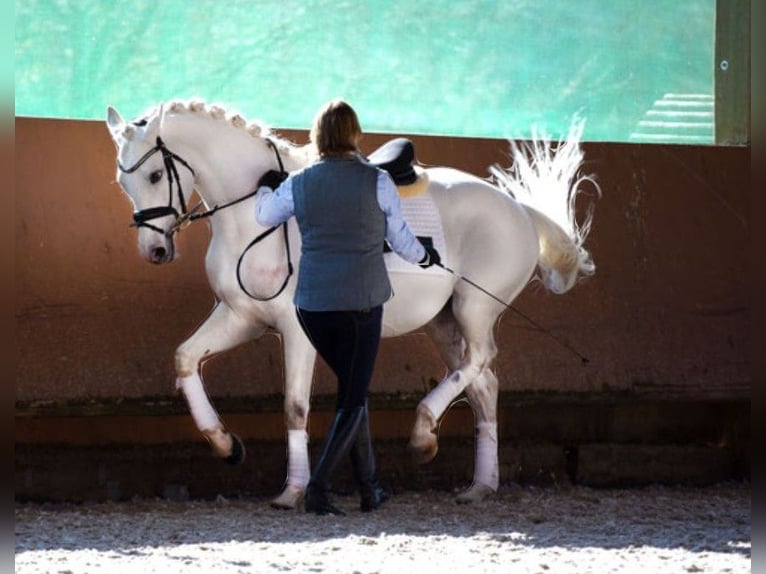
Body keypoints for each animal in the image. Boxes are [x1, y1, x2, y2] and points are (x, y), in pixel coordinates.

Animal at [106, 101, 600, 510]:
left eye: (154, 176)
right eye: (122, 181)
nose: (154, 250)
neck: (254, 215)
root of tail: (518, 210)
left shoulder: (296, 330)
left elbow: (295, 406)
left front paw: (293, 491)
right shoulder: (241, 317)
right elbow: (185, 358)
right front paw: (225, 444)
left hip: (473, 308)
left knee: (480, 360)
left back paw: (423, 434)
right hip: (442, 324)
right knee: (483, 385)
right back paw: (479, 484)